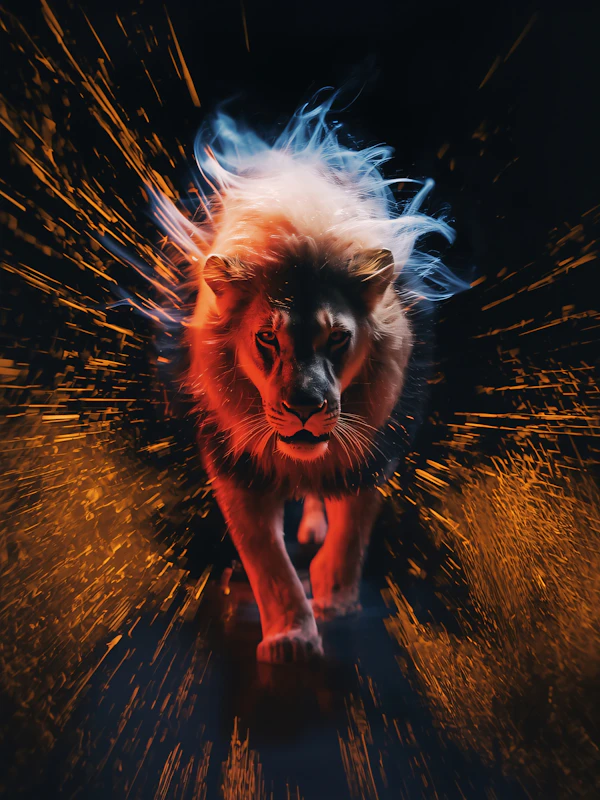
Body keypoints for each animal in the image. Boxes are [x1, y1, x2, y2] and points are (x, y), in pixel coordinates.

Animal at [147, 97, 463, 663]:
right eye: (266, 339)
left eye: (337, 338)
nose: (304, 408)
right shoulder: (234, 465)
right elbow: (266, 559)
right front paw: (292, 636)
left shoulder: (373, 449)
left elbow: (352, 531)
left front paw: (335, 598)